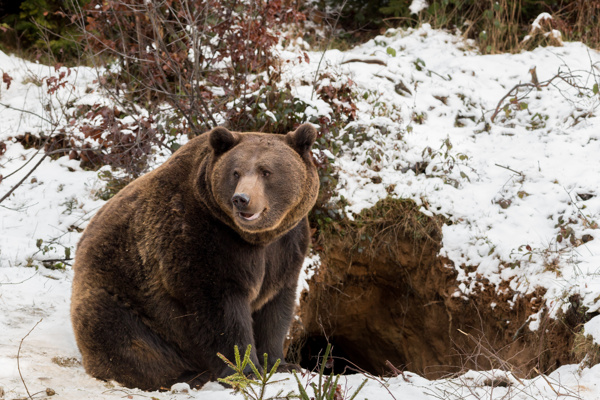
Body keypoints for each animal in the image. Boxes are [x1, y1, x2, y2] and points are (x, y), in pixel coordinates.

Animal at [71, 124, 318, 390]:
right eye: (236, 172)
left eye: (266, 171)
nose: (241, 199)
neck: (256, 238)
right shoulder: (201, 239)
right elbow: (220, 311)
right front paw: (243, 370)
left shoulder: (286, 248)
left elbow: (275, 309)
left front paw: (280, 364)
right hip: (123, 300)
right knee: (124, 336)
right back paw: (187, 375)